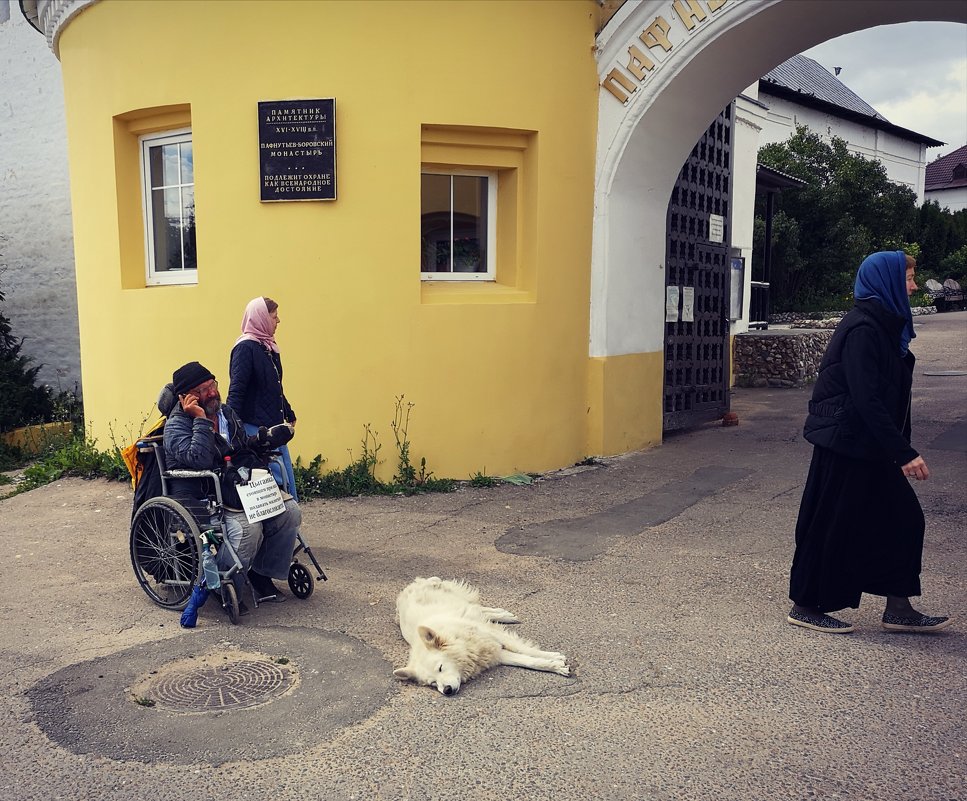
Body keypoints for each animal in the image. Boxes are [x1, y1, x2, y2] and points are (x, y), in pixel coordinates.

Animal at [394, 576, 572, 692]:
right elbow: (527, 661)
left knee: (478, 607)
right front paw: (555, 666)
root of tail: (410, 586)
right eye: (433, 683)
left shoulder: (492, 635)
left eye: (440, 668)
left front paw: (553, 656)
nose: (447, 690)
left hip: (460, 600)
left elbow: (525, 650)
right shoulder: (495, 653)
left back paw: (503, 615)